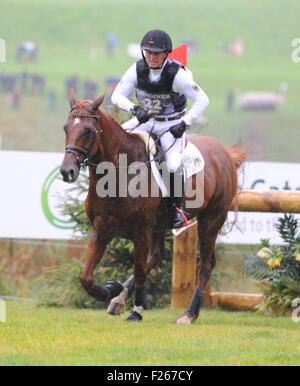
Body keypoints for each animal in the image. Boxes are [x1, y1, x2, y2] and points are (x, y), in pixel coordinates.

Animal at [60, 87, 246, 322]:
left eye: (88, 131)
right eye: (65, 128)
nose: (67, 171)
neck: (119, 173)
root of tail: (225, 152)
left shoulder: (140, 232)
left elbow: (139, 270)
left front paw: (137, 309)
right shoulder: (101, 230)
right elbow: (86, 278)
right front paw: (109, 290)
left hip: (211, 221)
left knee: (205, 264)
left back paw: (189, 314)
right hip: (159, 225)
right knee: (155, 258)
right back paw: (118, 297)